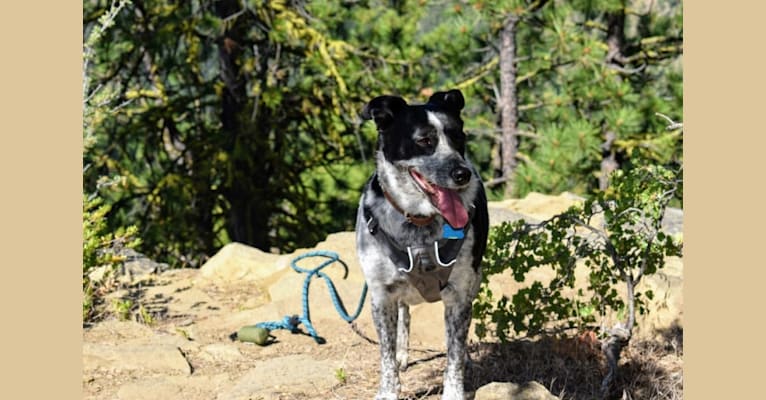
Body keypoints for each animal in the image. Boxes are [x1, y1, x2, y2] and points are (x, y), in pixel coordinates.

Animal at [356, 90, 488, 400]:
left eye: (458, 136)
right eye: (425, 141)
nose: (463, 174)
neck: (419, 222)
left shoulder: (458, 296)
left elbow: (454, 354)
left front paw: (454, 392)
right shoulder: (381, 295)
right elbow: (386, 356)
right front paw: (389, 390)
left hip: (474, 282)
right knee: (404, 313)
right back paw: (403, 354)